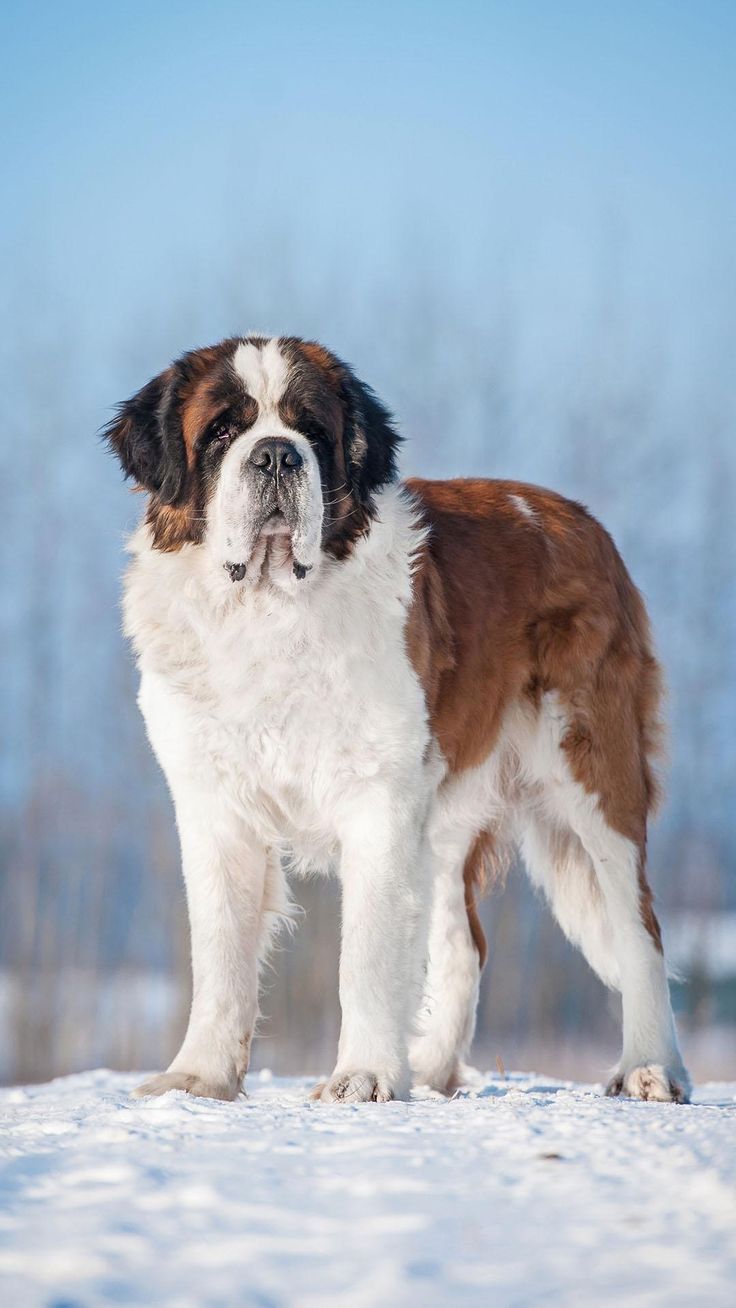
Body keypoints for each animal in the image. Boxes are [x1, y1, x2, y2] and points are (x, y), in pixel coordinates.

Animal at [106, 334, 695, 1103]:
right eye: (222, 432)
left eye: (312, 431)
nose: (277, 455)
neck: (270, 613)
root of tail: (576, 518)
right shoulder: (216, 807)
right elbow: (220, 954)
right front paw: (199, 1076)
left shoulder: (379, 802)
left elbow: (365, 954)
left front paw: (362, 1076)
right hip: (446, 809)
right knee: (464, 945)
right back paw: (435, 1068)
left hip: (594, 774)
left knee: (640, 927)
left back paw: (651, 1067)